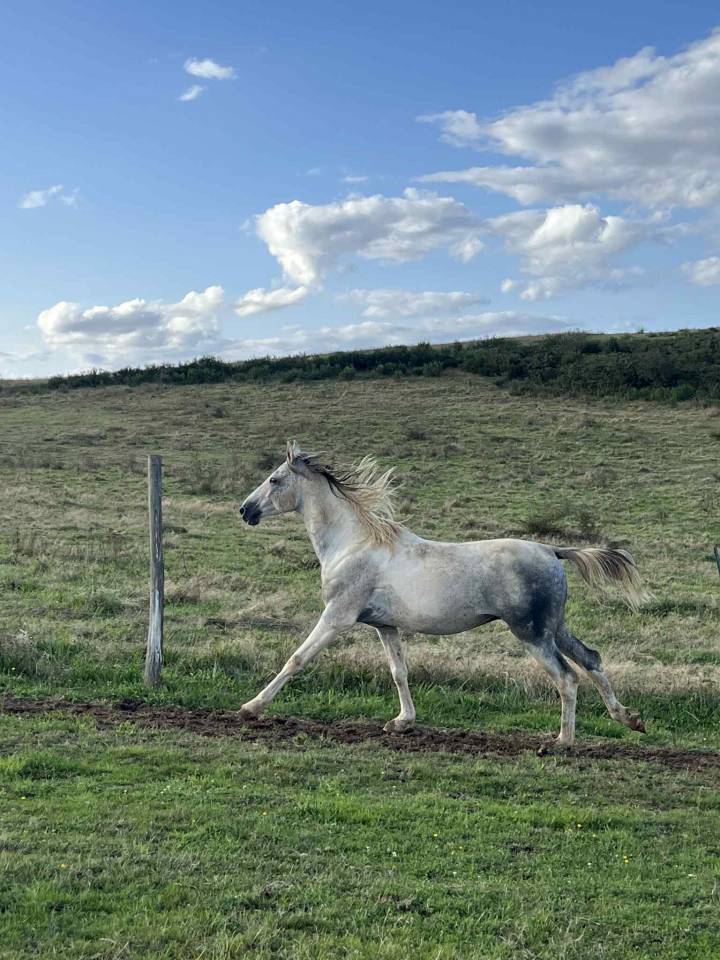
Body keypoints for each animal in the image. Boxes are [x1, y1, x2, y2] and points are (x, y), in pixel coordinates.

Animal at [238, 441, 648, 747]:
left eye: (274, 479)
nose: (245, 510)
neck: (352, 543)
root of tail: (552, 550)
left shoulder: (338, 616)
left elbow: (297, 658)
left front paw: (251, 707)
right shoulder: (384, 625)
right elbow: (399, 672)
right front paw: (402, 722)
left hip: (532, 634)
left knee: (567, 677)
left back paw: (562, 740)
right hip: (554, 628)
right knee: (592, 659)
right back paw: (630, 719)